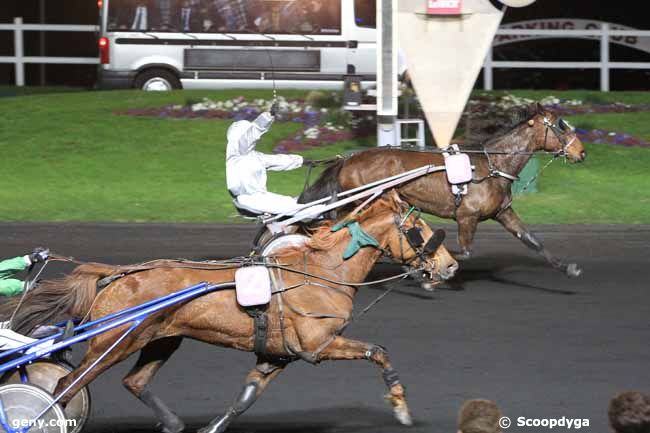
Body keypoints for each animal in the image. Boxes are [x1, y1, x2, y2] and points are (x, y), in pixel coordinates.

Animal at [1, 191, 456, 432]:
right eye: (419, 230)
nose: (449, 266)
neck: (321, 272)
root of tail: (116, 273)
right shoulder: (319, 344)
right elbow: (379, 351)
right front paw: (401, 407)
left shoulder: (277, 356)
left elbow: (244, 398)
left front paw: (212, 426)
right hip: (114, 341)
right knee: (66, 385)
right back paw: (34, 415)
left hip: (162, 339)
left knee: (134, 381)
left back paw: (173, 423)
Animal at [298, 103, 588, 276]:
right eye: (560, 125)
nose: (582, 152)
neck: (491, 166)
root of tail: (347, 160)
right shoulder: (467, 217)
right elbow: (465, 252)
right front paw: (423, 263)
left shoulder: (503, 212)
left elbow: (531, 240)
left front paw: (567, 267)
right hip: (364, 201)